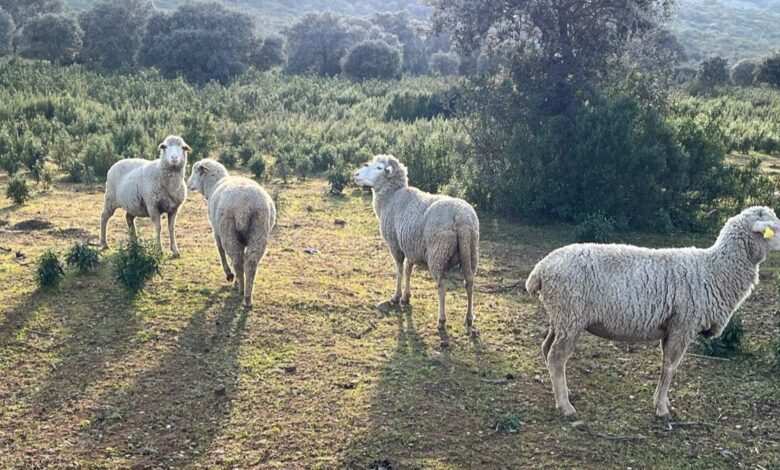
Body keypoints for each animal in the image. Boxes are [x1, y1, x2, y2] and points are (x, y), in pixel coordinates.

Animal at [187, 158, 276, 308]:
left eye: (195, 171)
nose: (188, 184)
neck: (214, 184)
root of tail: (245, 206)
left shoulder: (217, 231)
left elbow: (221, 251)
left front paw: (229, 275)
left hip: (228, 231)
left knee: (237, 260)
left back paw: (240, 288)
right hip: (259, 230)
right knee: (250, 262)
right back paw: (247, 297)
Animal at [354, 154, 480, 332]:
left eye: (379, 168)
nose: (356, 175)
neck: (391, 197)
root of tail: (462, 218)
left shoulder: (395, 245)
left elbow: (399, 270)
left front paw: (396, 296)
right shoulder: (411, 246)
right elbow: (408, 270)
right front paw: (406, 297)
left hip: (438, 254)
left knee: (442, 285)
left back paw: (441, 320)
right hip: (471, 252)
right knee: (469, 283)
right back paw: (469, 318)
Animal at [525, 206, 780, 418]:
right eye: (775, 228)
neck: (715, 269)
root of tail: (540, 269)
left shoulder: (671, 327)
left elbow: (666, 365)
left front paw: (661, 402)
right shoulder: (682, 325)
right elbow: (670, 367)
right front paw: (661, 408)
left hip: (560, 317)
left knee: (547, 349)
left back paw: (562, 394)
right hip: (570, 316)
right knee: (556, 357)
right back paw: (565, 406)